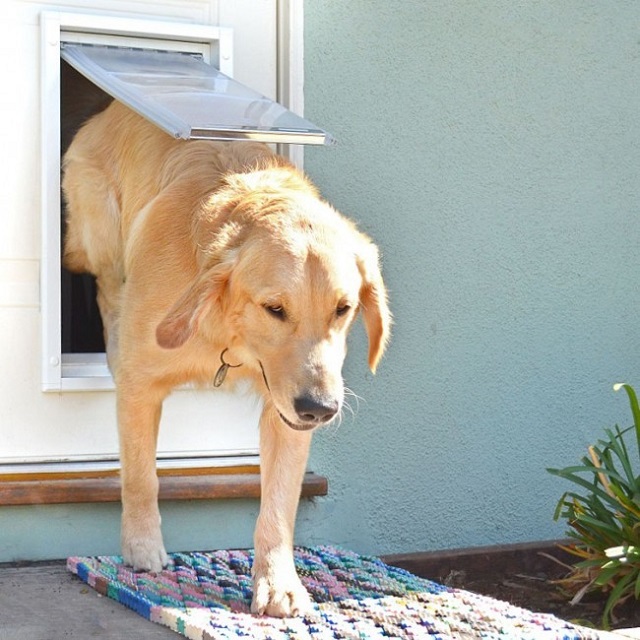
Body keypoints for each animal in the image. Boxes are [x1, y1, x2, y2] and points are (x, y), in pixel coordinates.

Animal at [61, 101, 390, 620]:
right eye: (274, 308)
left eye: (344, 308)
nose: (319, 409)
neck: (231, 337)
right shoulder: (139, 382)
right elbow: (141, 474)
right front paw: (141, 547)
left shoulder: (285, 410)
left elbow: (279, 502)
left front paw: (278, 582)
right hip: (101, 234)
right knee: (106, 284)